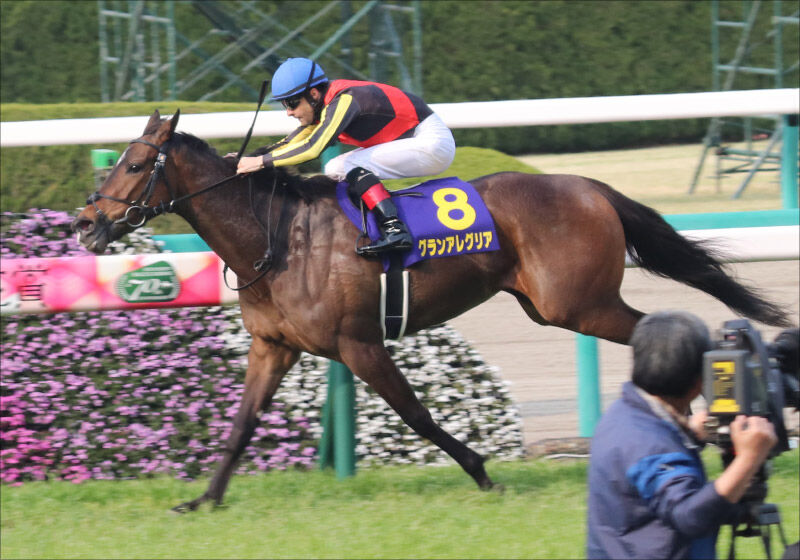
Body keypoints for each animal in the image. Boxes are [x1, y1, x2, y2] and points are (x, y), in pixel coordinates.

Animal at [72, 110, 791, 511]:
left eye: (134, 163)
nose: (86, 224)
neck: (277, 238)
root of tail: (588, 186)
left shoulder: (359, 344)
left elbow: (416, 416)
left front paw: (482, 474)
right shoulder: (273, 346)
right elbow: (242, 425)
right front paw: (204, 499)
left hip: (579, 306)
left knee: (666, 337)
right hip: (556, 307)